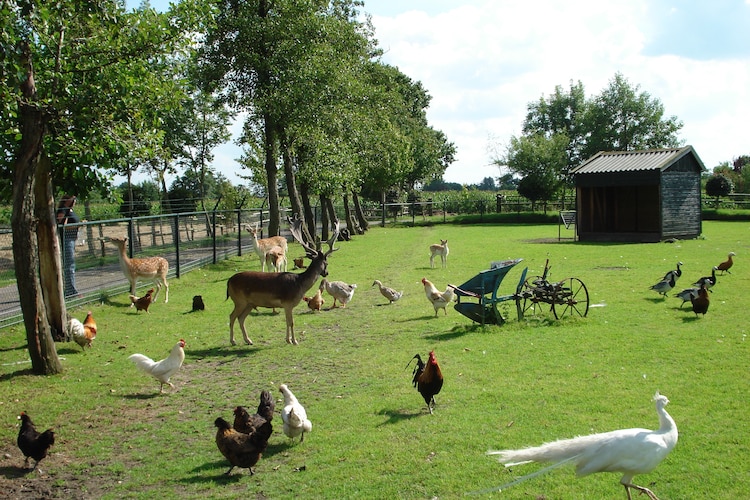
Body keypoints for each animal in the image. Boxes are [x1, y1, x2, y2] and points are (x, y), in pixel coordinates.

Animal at [225, 217, 340, 346]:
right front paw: (295, 341)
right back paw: (233, 341)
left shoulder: (286, 305)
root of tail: (229, 282)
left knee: (241, 318)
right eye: (326, 263)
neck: (300, 284)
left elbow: (287, 321)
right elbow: (291, 322)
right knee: (232, 316)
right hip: (239, 301)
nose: (326, 273)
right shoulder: (288, 303)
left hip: (249, 303)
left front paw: (288, 339)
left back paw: (248, 340)